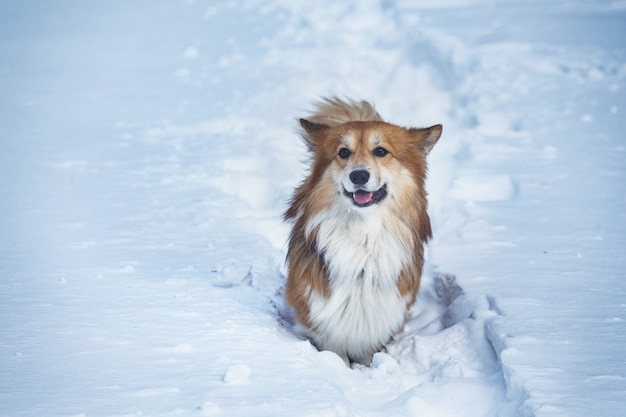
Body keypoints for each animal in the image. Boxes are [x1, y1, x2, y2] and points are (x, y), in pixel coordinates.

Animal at [282, 97, 438, 364]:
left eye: (381, 151)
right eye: (344, 152)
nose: (359, 175)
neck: (364, 233)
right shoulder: (321, 315)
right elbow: (335, 351)